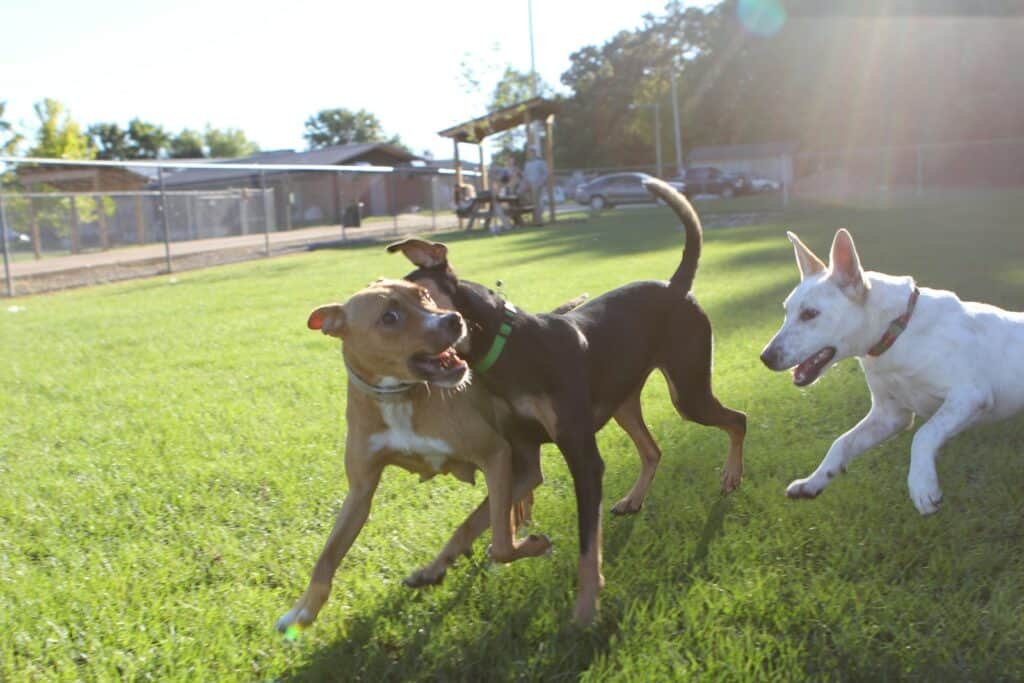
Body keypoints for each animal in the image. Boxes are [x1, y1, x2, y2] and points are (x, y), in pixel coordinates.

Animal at [276, 278, 552, 634]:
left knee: (497, 511)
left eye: (423, 295)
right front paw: (303, 612)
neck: (399, 397)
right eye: (389, 317)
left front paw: (527, 547)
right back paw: (435, 570)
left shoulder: (495, 454)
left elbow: (500, 539)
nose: (453, 320)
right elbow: (326, 557)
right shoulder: (359, 492)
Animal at [389, 178, 745, 626]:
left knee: (738, 419)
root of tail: (676, 285)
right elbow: (478, 526)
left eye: (418, 294)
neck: (506, 346)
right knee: (653, 450)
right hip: (624, 402)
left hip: (689, 392)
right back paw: (633, 499)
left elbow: (586, 543)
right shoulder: (524, 459)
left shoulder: (582, 459)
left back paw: (731, 475)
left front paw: (586, 607)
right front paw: (433, 570)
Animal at [761, 228, 1024, 511]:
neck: (897, 331)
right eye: (786, 311)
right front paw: (813, 481)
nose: (765, 357)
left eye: (810, 314)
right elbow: (842, 442)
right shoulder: (890, 416)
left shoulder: (969, 397)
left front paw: (922, 484)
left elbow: (924, 434)